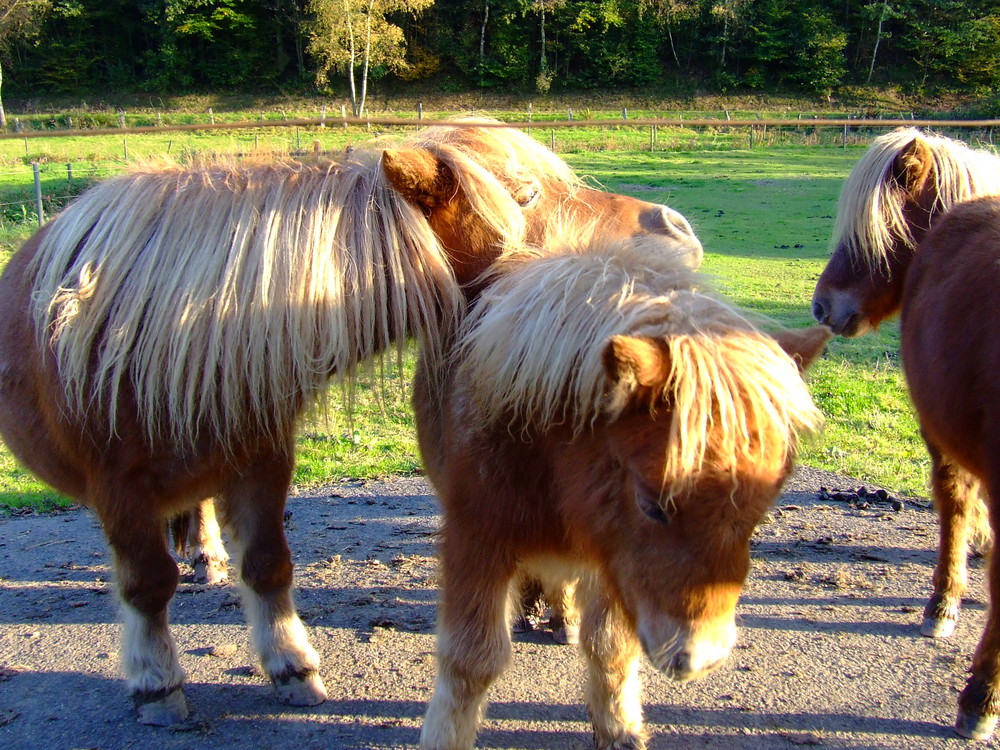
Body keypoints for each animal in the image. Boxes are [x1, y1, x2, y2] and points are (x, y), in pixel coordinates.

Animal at [0, 123, 704, 728]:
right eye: (527, 193)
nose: (678, 228)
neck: (176, 332)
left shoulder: (260, 464)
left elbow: (269, 565)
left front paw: (291, 667)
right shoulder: (119, 493)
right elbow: (146, 585)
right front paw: (157, 685)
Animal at [414, 236, 828, 750]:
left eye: (760, 511)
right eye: (651, 504)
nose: (701, 658)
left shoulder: (612, 558)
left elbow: (610, 646)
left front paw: (619, 730)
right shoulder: (478, 541)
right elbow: (471, 660)